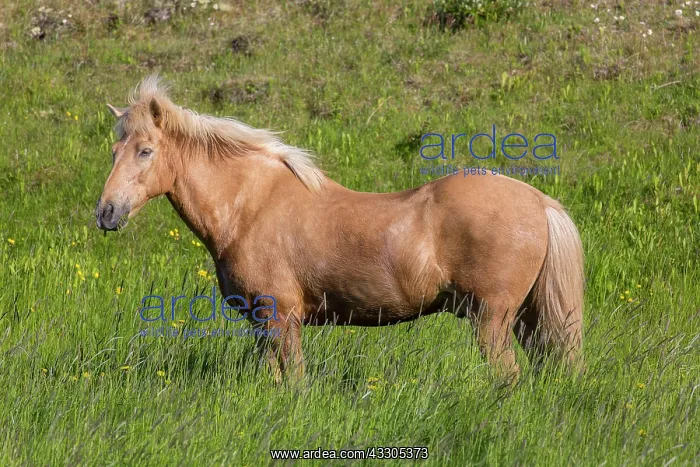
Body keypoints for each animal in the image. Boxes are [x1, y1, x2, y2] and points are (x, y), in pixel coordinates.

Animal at [96, 76, 584, 383]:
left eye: (145, 151)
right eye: (114, 150)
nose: (106, 212)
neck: (249, 206)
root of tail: (539, 202)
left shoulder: (281, 318)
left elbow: (293, 381)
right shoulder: (260, 324)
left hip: (492, 319)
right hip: (523, 319)